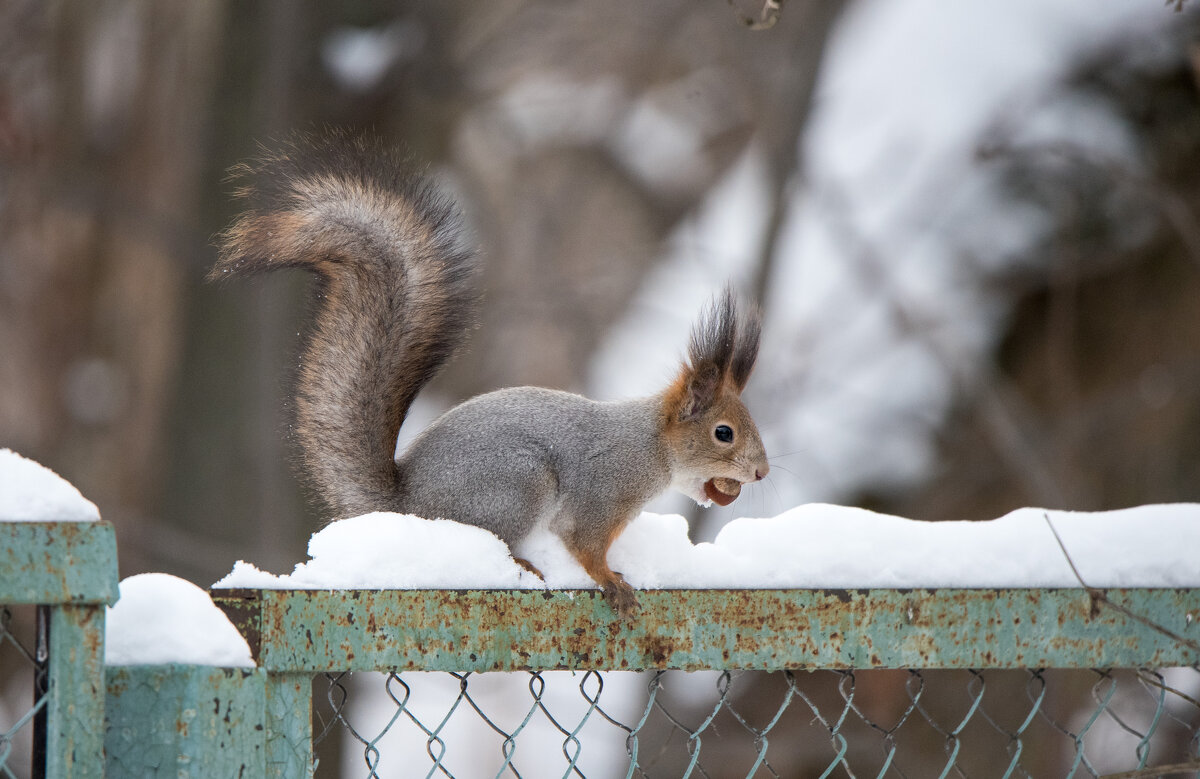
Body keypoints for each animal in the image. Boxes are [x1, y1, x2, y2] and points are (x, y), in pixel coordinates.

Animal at [208, 135, 768, 619]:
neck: (652, 445)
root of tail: (408, 505)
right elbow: (584, 544)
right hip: (517, 483)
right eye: (723, 433)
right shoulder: (603, 490)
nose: (762, 473)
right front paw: (611, 582)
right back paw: (520, 563)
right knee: (494, 538)